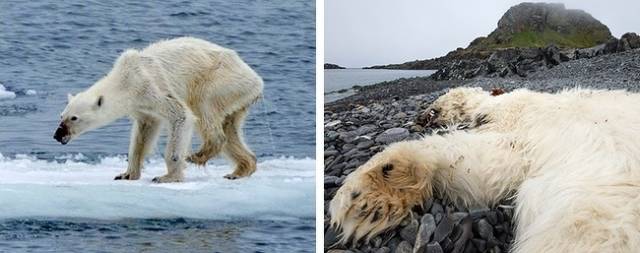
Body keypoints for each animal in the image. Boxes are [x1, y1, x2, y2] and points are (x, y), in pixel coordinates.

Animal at [54, 36, 262, 183]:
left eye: (74, 118)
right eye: (61, 115)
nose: (57, 135)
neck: (126, 79)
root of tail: (256, 79)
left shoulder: (151, 87)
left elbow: (181, 116)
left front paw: (167, 177)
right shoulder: (141, 106)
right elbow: (144, 133)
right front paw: (126, 174)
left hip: (220, 81)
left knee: (204, 109)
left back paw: (197, 155)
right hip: (237, 96)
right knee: (230, 127)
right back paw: (240, 169)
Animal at [330, 87, 640, 253]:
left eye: (434, 104)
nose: (419, 116)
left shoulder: (518, 124)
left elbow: (488, 157)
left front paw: (363, 193)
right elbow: (481, 165)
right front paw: (381, 192)